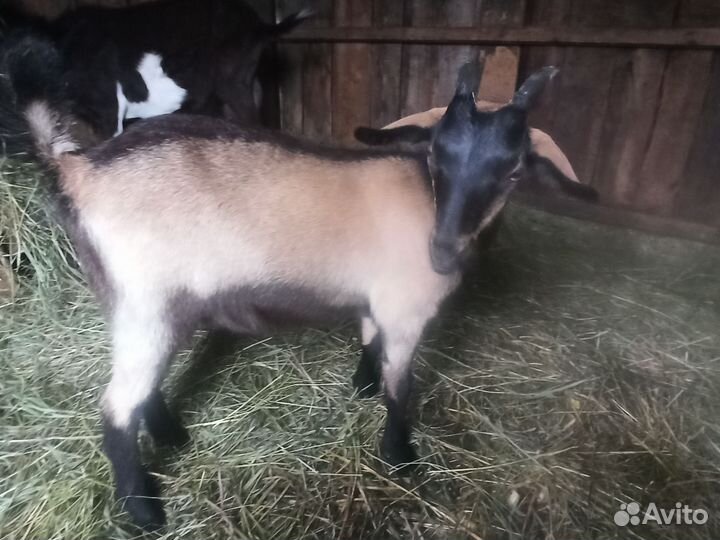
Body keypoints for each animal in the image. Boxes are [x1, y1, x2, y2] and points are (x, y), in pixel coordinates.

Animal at [1, 38, 561, 530]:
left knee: (142, 385)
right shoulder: (406, 308)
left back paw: (172, 435)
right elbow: (401, 388)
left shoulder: (377, 296)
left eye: (514, 171)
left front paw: (362, 384)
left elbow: (369, 337)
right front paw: (401, 457)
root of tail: (78, 169)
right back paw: (144, 514)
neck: (426, 200)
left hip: (143, 305)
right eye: (436, 155)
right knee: (117, 407)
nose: (442, 252)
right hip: (145, 301)